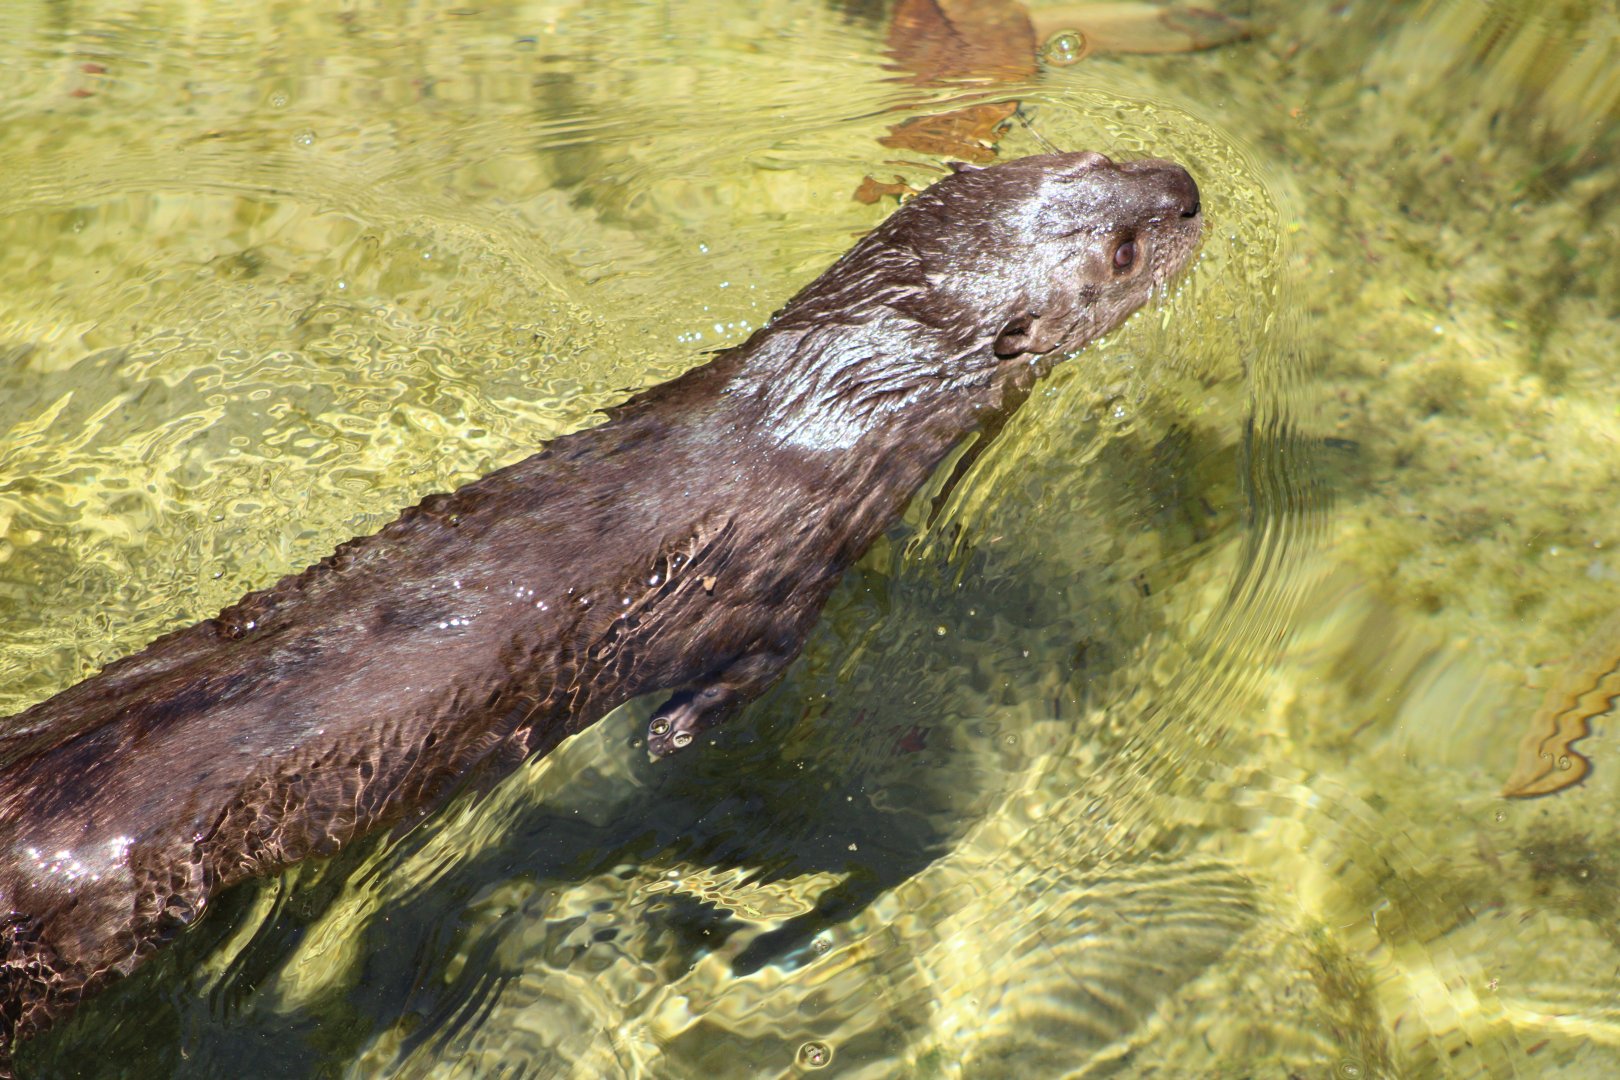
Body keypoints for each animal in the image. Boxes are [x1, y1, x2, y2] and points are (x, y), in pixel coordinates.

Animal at [0, 150, 1201, 1070]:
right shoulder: (789, 577)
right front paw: (675, 735)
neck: (812, 416)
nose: (1185, 187)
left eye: (1095, 157)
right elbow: (735, 681)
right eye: (1121, 250)